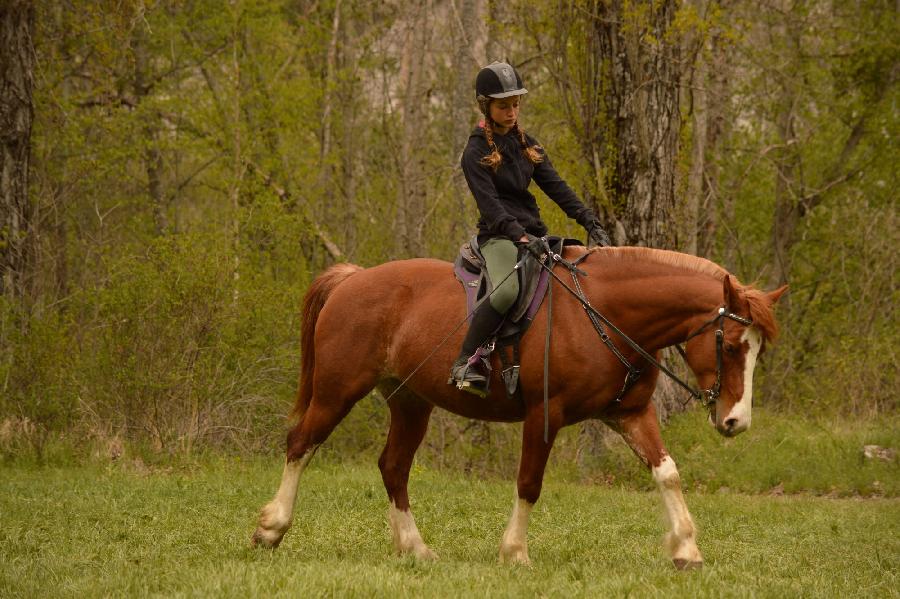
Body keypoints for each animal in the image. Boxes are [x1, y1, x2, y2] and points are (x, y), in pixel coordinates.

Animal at [250, 246, 784, 568]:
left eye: (758, 349)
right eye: (731, 345)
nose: (736, 421)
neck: (604, 314)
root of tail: (353, 280)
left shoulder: (632, 415)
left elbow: (667, 472)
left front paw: (687, 548)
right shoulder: (545, 414)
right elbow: (529, 483)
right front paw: (515, 552)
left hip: (410, 402)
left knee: (393, 467)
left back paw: (415, 548)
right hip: (336, 392)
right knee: (301, 445)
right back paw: (272, 528)